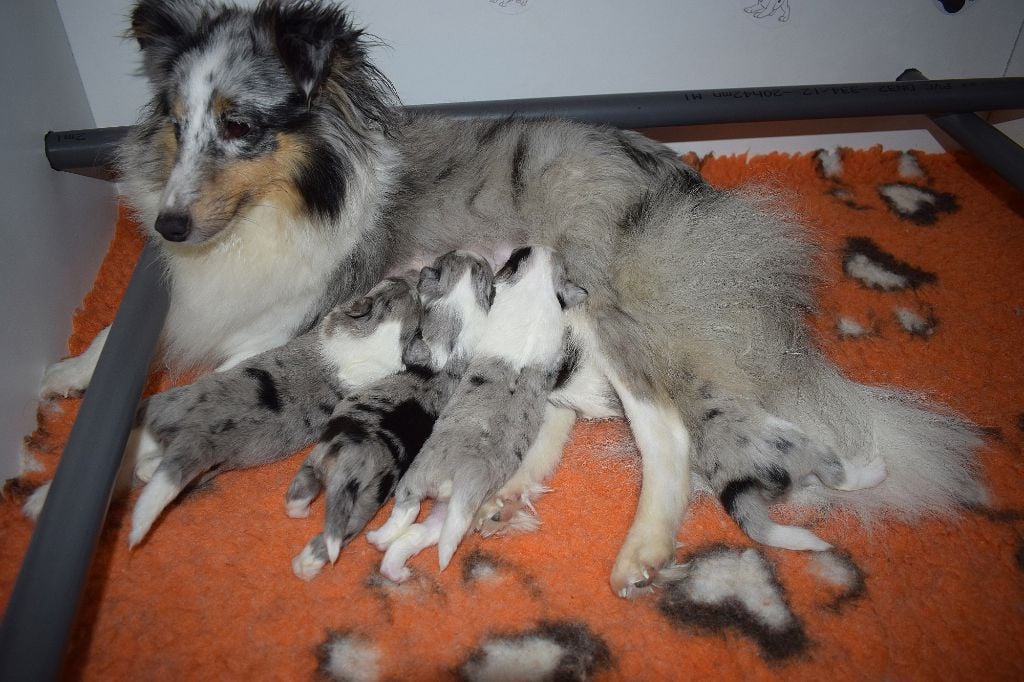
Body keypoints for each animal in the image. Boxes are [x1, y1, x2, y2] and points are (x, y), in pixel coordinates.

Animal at [370, 245, 585, 577]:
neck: (538, 283)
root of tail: (461, 483)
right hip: (452, 518)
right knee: (423, 535)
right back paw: (397, 568)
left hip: (416, 480)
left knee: (406, 512)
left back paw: (378, 539)